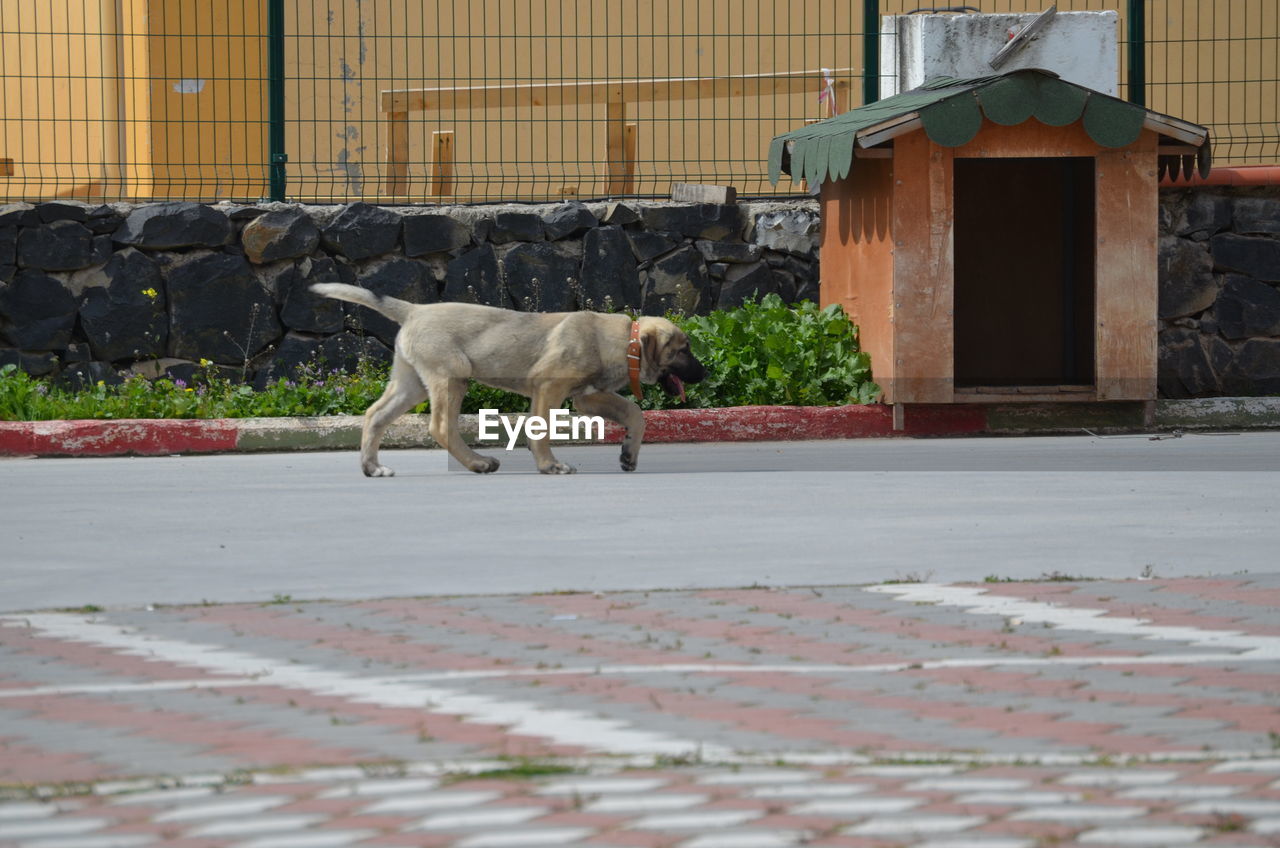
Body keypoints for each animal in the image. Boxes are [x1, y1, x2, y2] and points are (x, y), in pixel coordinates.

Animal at [311, 284, 711, 471]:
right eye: (684, 350)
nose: (706, 372)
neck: (622, 340)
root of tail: (414, 310)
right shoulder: (549, 386)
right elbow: (542, 430)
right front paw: (550, 465)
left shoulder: (587, 395)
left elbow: (635, 414)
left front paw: (629, 453)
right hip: (451, 377)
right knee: (440, 427)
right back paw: (477, 463)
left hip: (411, 383)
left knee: (375, 415)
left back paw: (371, 467)